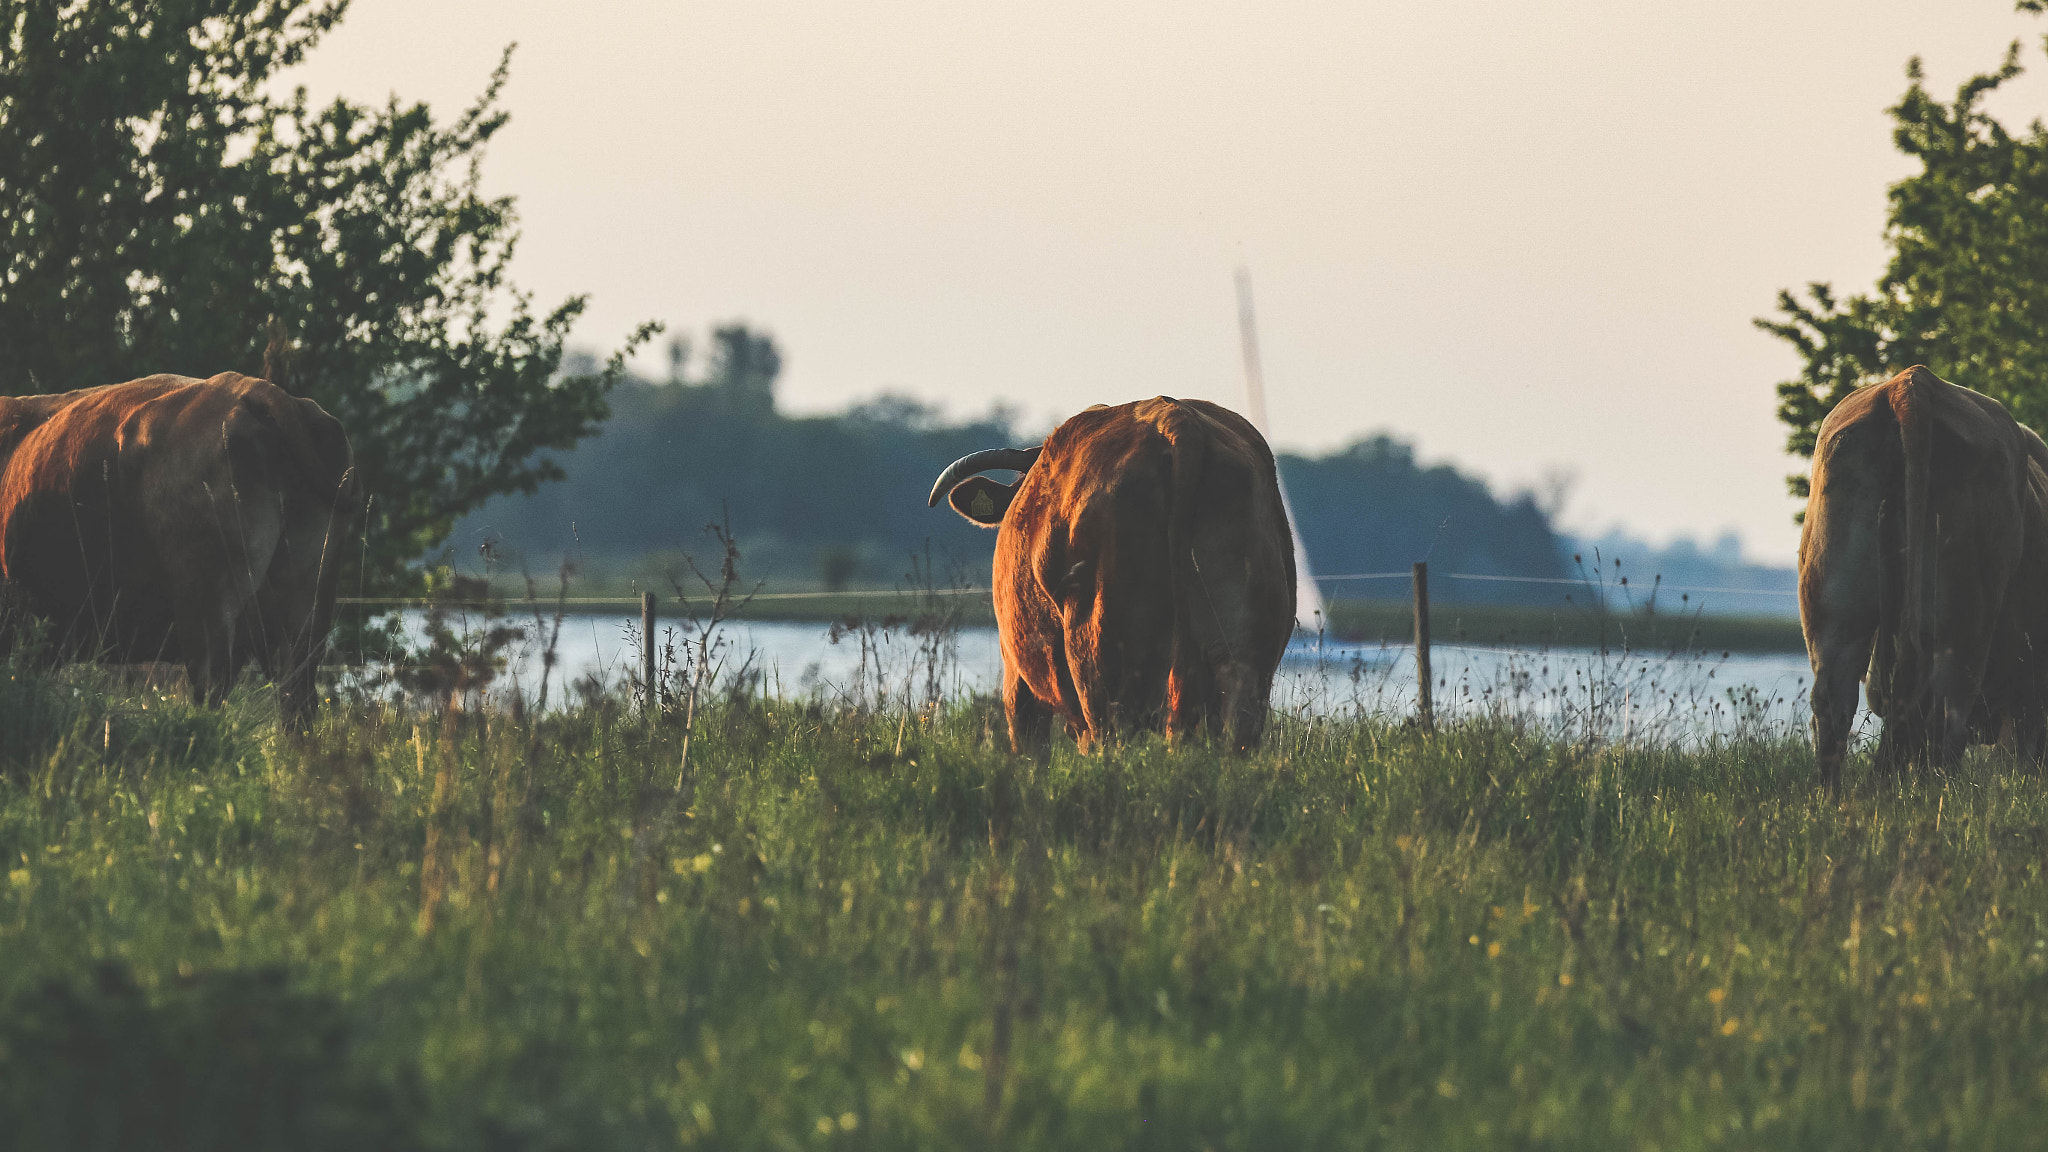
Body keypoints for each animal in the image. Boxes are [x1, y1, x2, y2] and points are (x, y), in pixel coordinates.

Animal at [933, 393, 1294, 754]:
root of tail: (1175, 417)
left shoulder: (1016, 671)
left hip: (1099, 649)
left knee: (1110, 736)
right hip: (1244, 655)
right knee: (1236, 732)